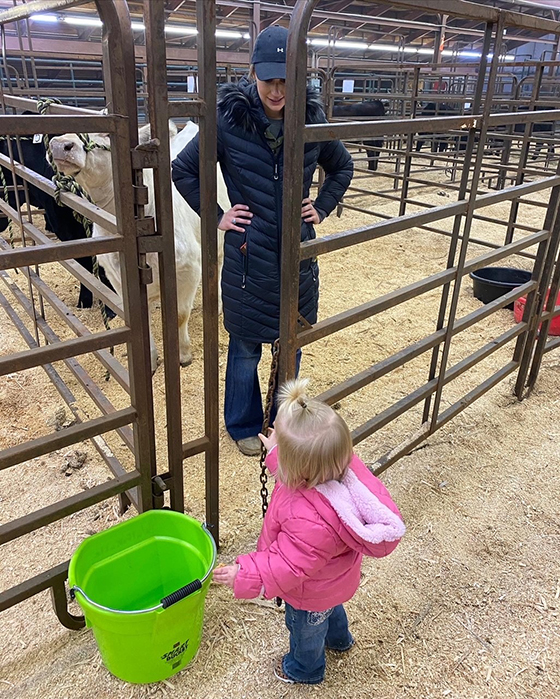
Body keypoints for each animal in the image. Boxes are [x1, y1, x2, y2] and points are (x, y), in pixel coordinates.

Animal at [49, 121, 229, 372]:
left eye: (106, 132)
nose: (60, 144)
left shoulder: (189, 267)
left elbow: (180, 315)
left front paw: (183, 354)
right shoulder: (116, 277)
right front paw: (151, 360)